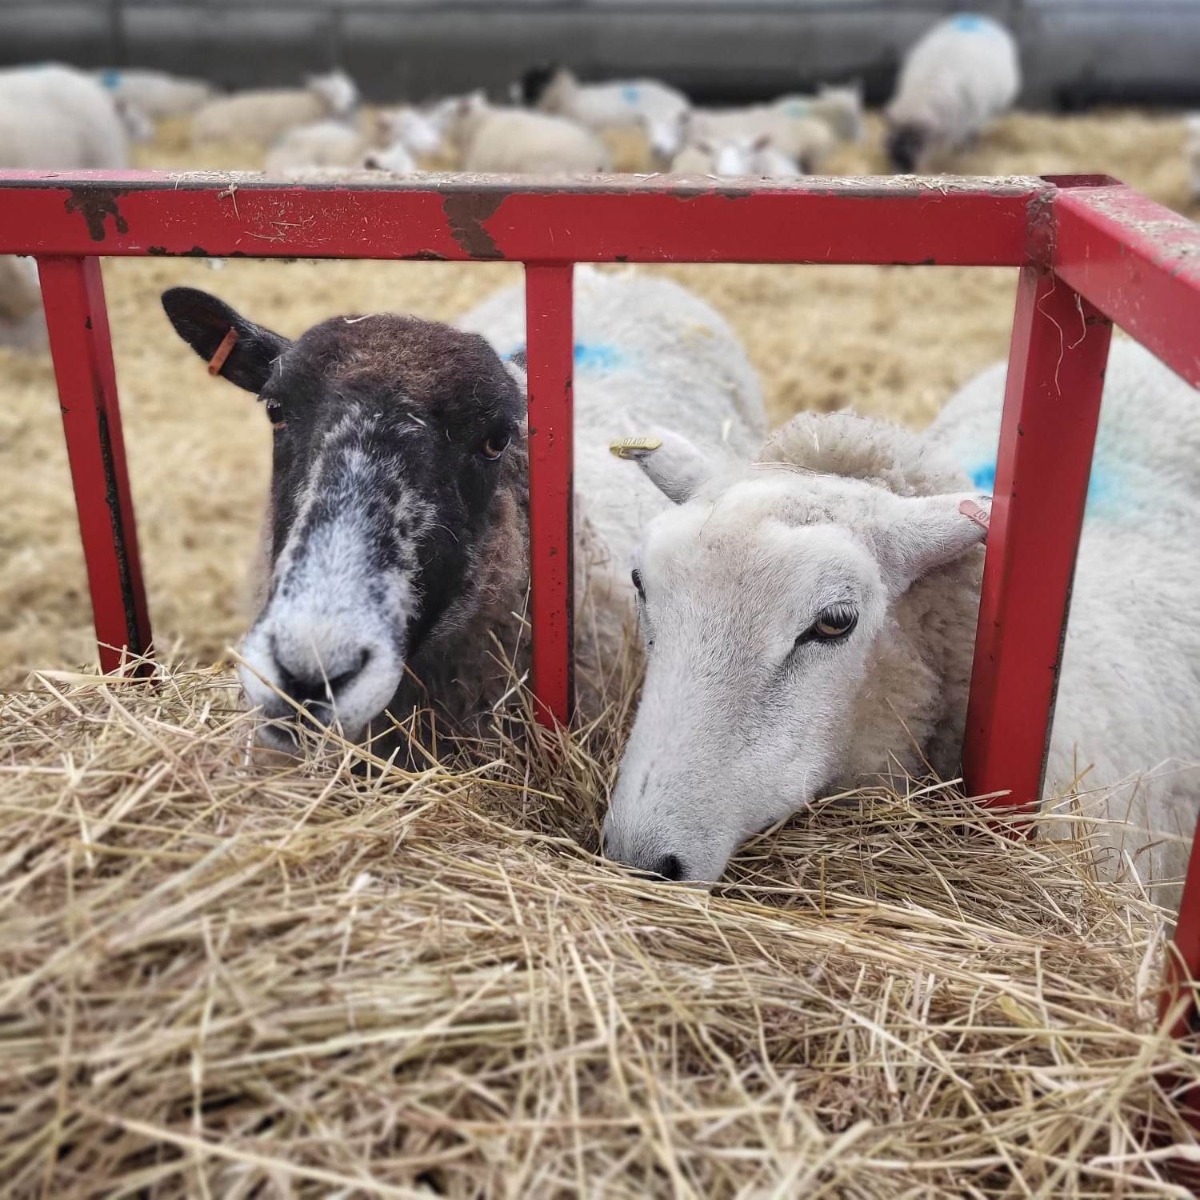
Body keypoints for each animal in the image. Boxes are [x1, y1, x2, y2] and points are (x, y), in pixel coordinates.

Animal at [883, 12, 1022, 172]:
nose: (899, 171)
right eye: (890, 143)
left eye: (918, 143)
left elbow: (969, 138)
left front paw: (964, 153)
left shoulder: (971, 119)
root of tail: (975, 16)